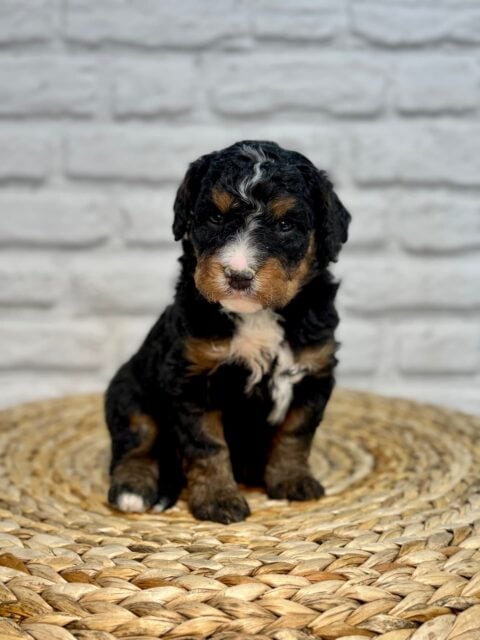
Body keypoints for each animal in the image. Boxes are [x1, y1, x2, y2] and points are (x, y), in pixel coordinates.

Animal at [105, 139, 348, 520]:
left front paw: (292, 480)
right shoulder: (191, 378)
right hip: (128, 390)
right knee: (137, 442)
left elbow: (295, 433)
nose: (238, 275)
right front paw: (218, 499)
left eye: (285, 224)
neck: (257, 317)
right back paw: (134, 489)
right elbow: (208, 445)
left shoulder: (314, 372)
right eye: (216, 218)